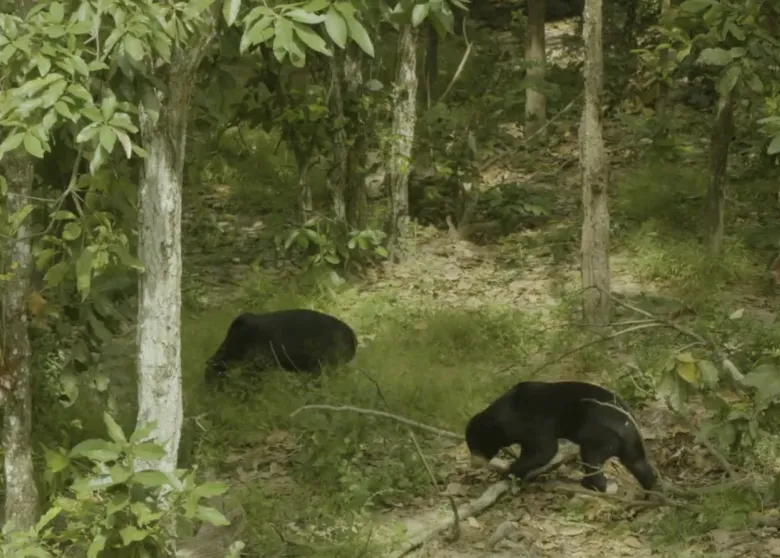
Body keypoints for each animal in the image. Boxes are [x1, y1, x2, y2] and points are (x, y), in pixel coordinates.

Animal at [465, 380, 658, 494]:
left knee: (591, 457)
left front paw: (509, 472)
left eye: (475, 446)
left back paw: (591, 485)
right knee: (638, 464)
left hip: (599, 432)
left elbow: (545, 450)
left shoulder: (534, 423)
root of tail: (630, 424)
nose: (474, 463)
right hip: (629, 445)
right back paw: (651, 490)